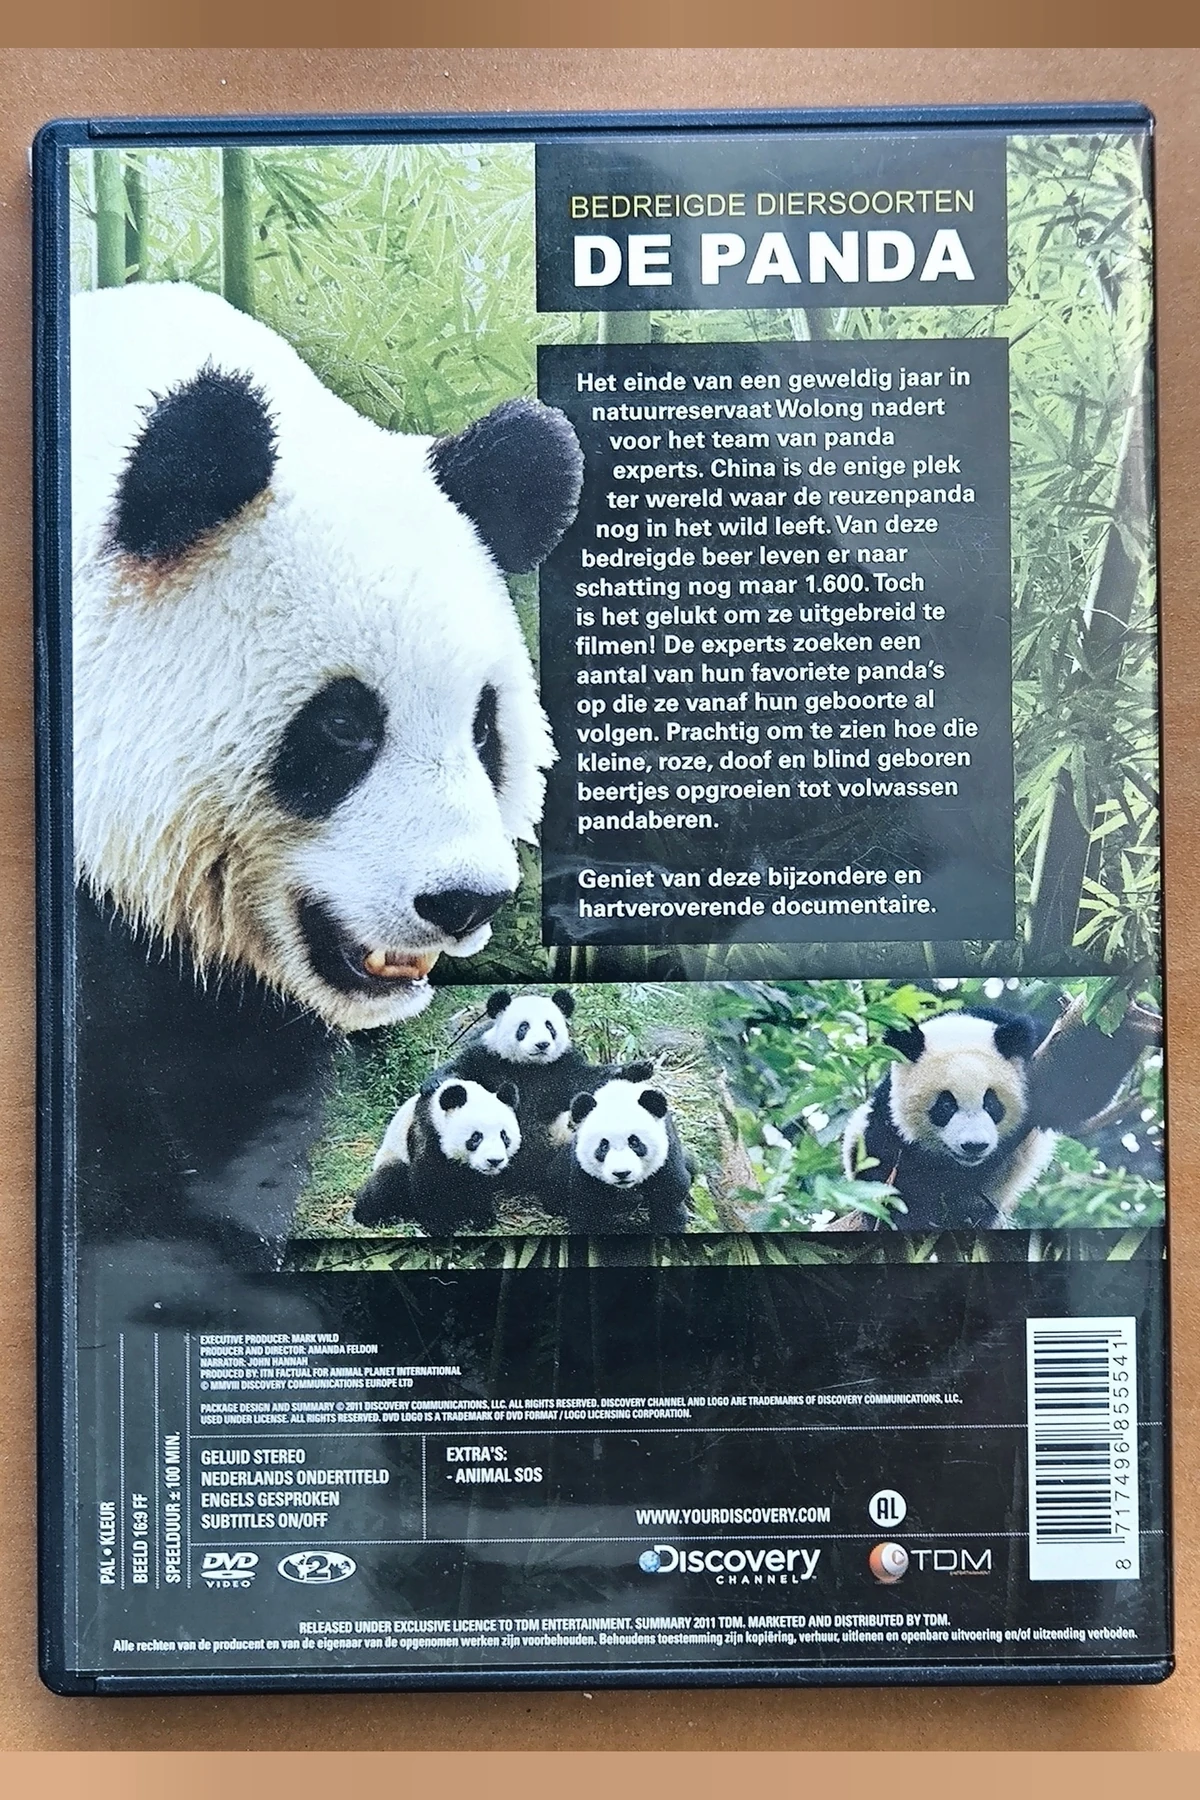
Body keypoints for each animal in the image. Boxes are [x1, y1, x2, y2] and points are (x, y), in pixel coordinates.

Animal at [353, 1078, 521, 1236]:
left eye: (504, 1135)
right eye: (476, 1137)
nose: (495, 1161)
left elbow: (478, 1186)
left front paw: (481, 1218)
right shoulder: (427, 1134)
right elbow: (428, 1181)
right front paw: (440, 1225)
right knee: (388, 1180)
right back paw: (373, 1216)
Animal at [549, 1074, 695, 1235]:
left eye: (634, 1142)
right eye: (604, 1145)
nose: (622, 1173)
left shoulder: (667, 1156)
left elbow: (670, 1196)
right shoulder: (583, 1170)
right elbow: (587, 1206)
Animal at [839, 1004, 1141, 1230]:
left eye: (992, 1104)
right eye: (945, 1106)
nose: (974, 1146)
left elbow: (1078, 1089)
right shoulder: (885, 1112)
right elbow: (878, 1158)